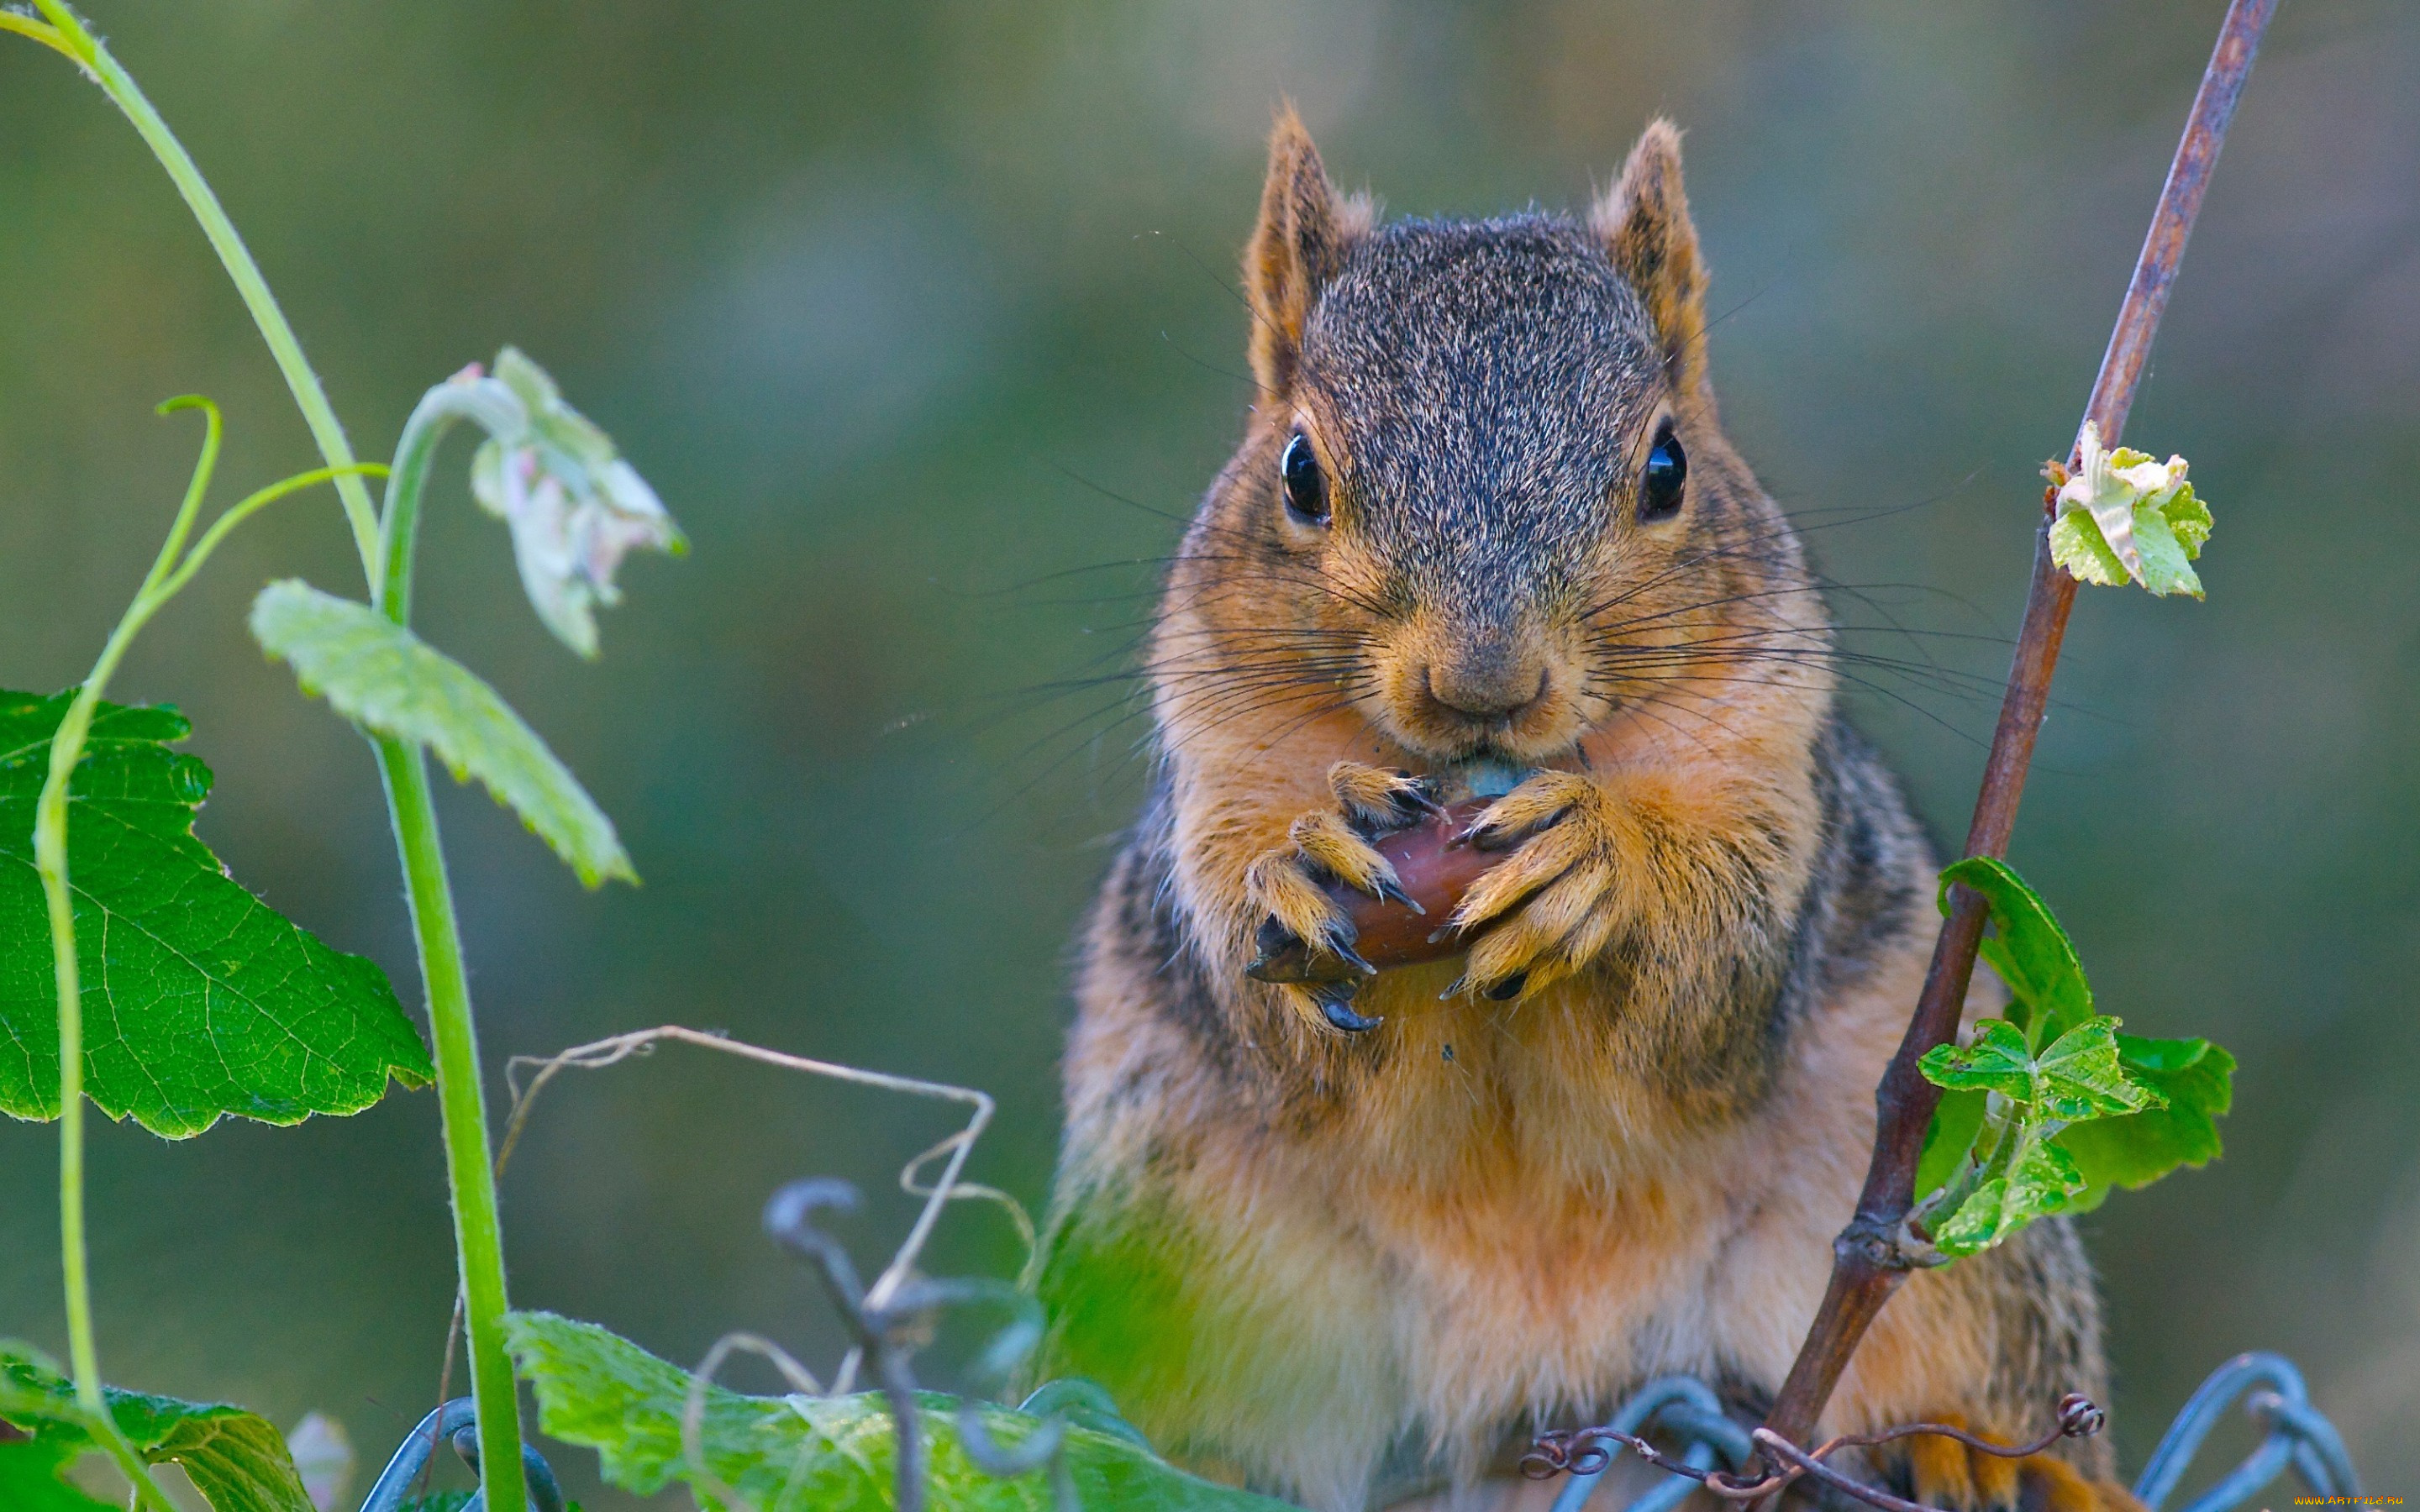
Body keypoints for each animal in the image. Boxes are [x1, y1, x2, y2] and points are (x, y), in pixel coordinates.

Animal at [1021, 112, 2139, 1509]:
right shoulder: (1220, 760)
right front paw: (1299, 865)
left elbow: (1716, 980)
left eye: (1667, 468)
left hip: (1960, 1267)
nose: (1482, 685)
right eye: (1298, 473)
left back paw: (1963, 1456)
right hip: (1176, 1240)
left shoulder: (1773, 776)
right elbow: (1269, 1014)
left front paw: (1603, 870)